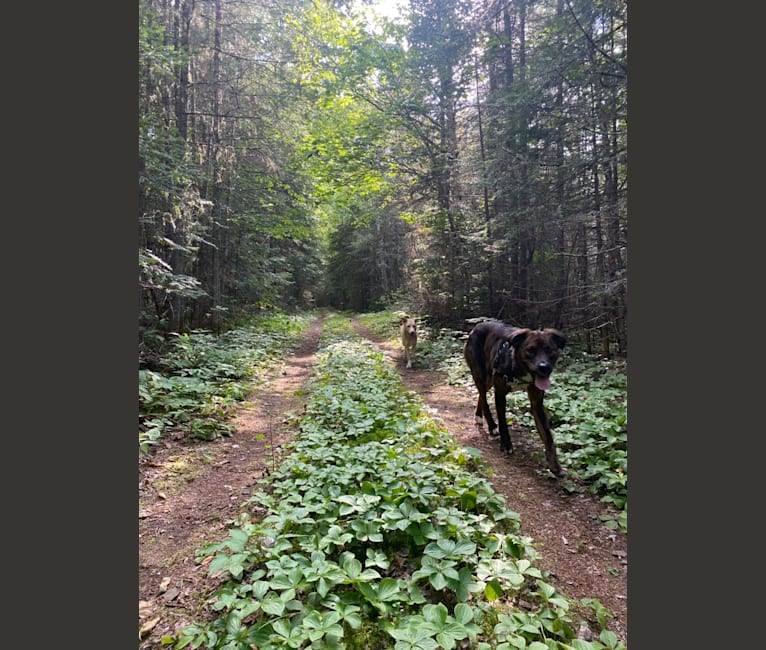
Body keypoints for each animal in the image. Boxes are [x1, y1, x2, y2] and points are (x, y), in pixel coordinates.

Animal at [464, 320, 568, 476]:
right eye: (530, 350)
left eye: (550, 350)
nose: (544, 367)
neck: (519, 368)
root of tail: (476, 327)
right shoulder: (500, 394)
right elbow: (503, 423)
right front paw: (506, 444)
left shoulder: (537, 404)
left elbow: (548, 437)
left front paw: (555, 465)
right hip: (481, 375)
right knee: (483, 397)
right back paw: (491, 426)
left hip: (489, 379)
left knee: (481, 396)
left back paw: (479, 416)